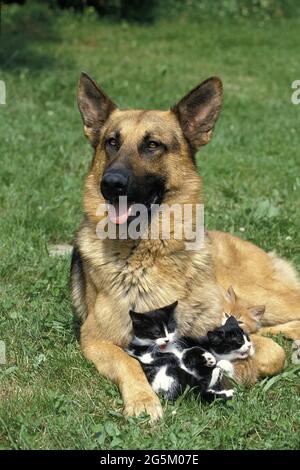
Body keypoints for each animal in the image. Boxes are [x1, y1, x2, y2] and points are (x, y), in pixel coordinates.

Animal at [71, 74, 300, 422]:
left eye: (152, 145)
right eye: (111, 142)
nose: (110, 184)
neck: (148, 252)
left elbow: (271, 354)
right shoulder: (96, 339)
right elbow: (127, 361)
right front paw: (143, 399)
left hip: (266, 296)